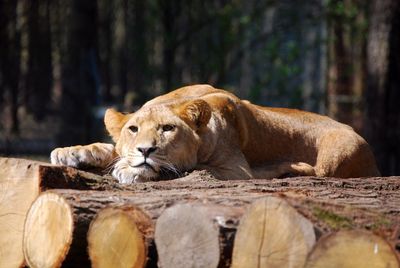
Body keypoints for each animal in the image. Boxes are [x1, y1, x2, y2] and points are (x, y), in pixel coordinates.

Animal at [50, 85, 378, 183]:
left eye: (167, 129)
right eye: (133, 129)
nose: (145, 150)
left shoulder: (239, 170)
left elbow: (195, 169)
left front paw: (132, 171)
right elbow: (110, 148)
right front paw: (70, 152)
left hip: (336, 156)